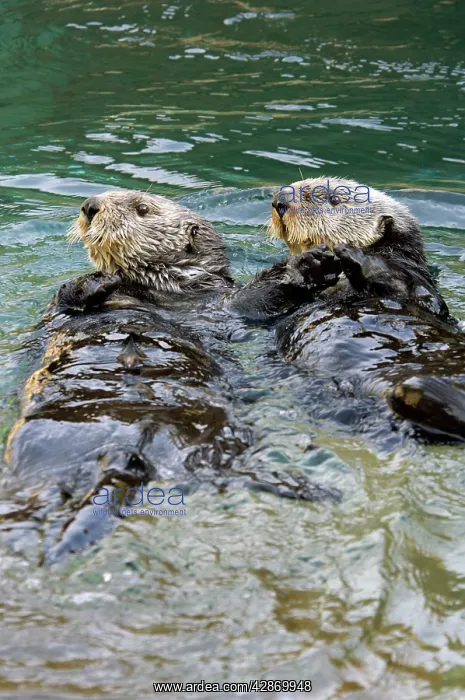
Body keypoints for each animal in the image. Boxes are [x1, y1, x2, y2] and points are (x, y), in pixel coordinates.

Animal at [4, 189, 337, 562]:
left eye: (141, 208)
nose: (90, 206)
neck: (155, 291)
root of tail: (127, 448)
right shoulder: (55, 307)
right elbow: (68, 297)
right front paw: (101, 280)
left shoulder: (221, 305)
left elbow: (251, 303)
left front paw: (311, 264)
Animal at [235, 177, 465, 444]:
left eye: (333, 199)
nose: (280, 201)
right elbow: (244, 304)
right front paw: (309, 263)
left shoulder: (421, 284)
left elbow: (428, 301)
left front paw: (355, 254)